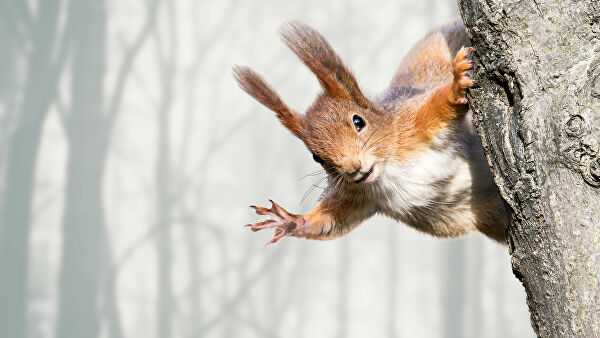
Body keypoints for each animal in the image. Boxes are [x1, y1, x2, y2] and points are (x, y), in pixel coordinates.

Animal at [232, 19, 508, 244]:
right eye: (316, 157)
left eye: (358, 121)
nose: (353, 168)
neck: (388, 169)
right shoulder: (357, 195)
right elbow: (330, 222)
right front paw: (289, 220)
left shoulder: (413, 123)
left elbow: (439, 104)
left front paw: (456, 84)